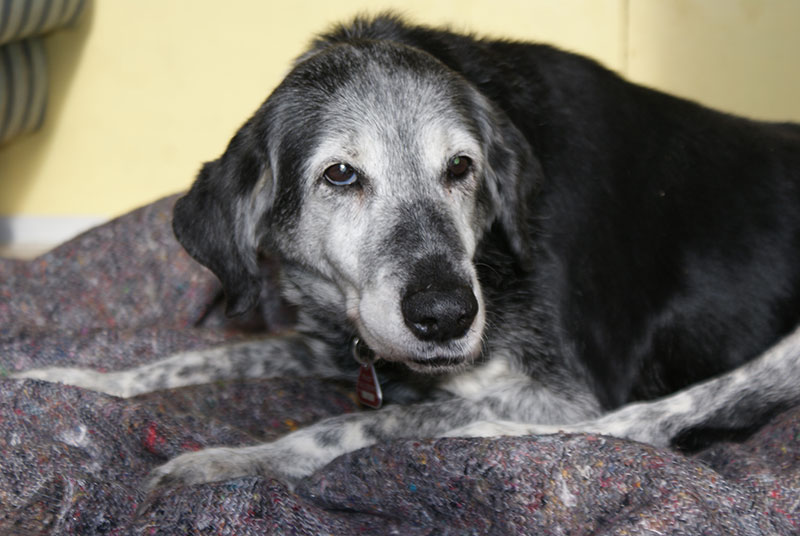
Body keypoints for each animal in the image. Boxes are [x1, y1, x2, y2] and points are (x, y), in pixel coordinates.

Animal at [15, 13, 800, 490]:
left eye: (461, 168)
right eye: (340, 175)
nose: (446, 316)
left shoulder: (559, 391)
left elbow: (350, 426)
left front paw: (233, 460)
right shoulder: (334, 340)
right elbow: (197, 356)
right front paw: (70, 380)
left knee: (655, 422)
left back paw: (489, 438)